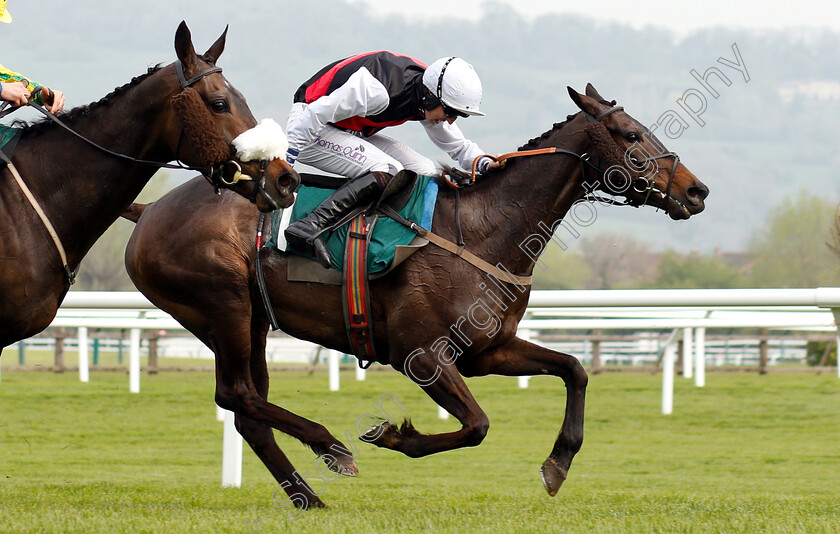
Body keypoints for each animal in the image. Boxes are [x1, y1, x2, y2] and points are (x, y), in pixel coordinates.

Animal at [124, 86, 708, 512]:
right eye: (631, 133)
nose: (696, 190)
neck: (483, 231)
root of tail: (150, 209)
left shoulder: (486, 350)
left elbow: (574, 370)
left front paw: (557, 464)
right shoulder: (421, 354)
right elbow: (477, 426)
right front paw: (390, 435)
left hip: (254, 325)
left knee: (248, 409)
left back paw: (309, 498)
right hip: (223, 309)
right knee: (236, 395)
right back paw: (332, 449)